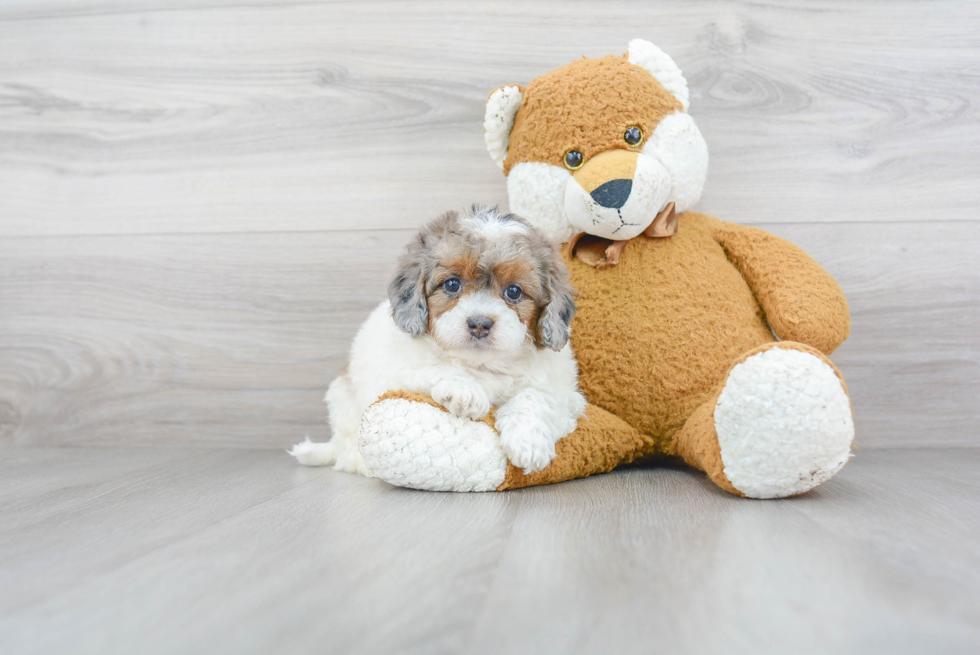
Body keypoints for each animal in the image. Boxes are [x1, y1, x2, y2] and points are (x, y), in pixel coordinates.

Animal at [288, 205, 584, 476]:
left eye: (514, 291)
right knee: (348, 453)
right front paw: (466, 392)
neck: (481, 363)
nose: (479, 324)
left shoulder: (566, 395)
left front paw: (529, 443)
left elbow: (536, 396)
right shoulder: (399, 371)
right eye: (452, 284)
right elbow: (437, 367)